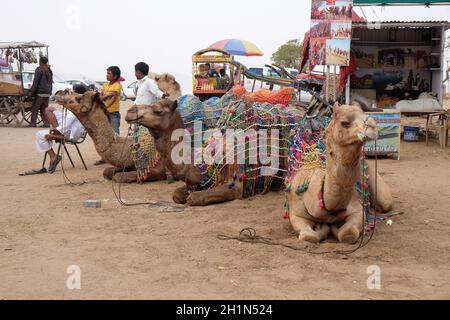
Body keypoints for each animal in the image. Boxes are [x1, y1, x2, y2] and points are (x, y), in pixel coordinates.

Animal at [286, 104, 392, 244]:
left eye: (366, 115)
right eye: (344, 122)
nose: (372, 127)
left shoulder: (357, 211)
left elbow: (347, 234)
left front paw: (332, 228)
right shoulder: (296, 213)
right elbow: (309, 236)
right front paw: (321, 227)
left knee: (386, 203)